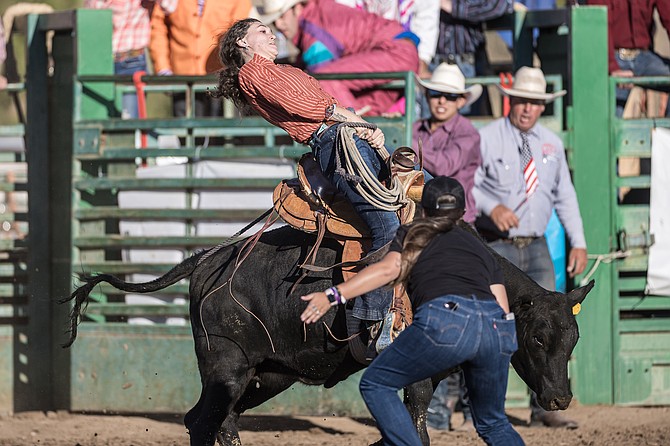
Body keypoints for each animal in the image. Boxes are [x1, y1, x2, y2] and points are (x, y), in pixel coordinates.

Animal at [63, 225, 596, 444]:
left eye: (573, 340)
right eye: (537, 339)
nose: (559, 398)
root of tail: (207, 260)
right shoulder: (414, 373)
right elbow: (417, 421)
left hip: (267, 375)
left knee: (220, 421)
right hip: (227, 368)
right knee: (202, 422)